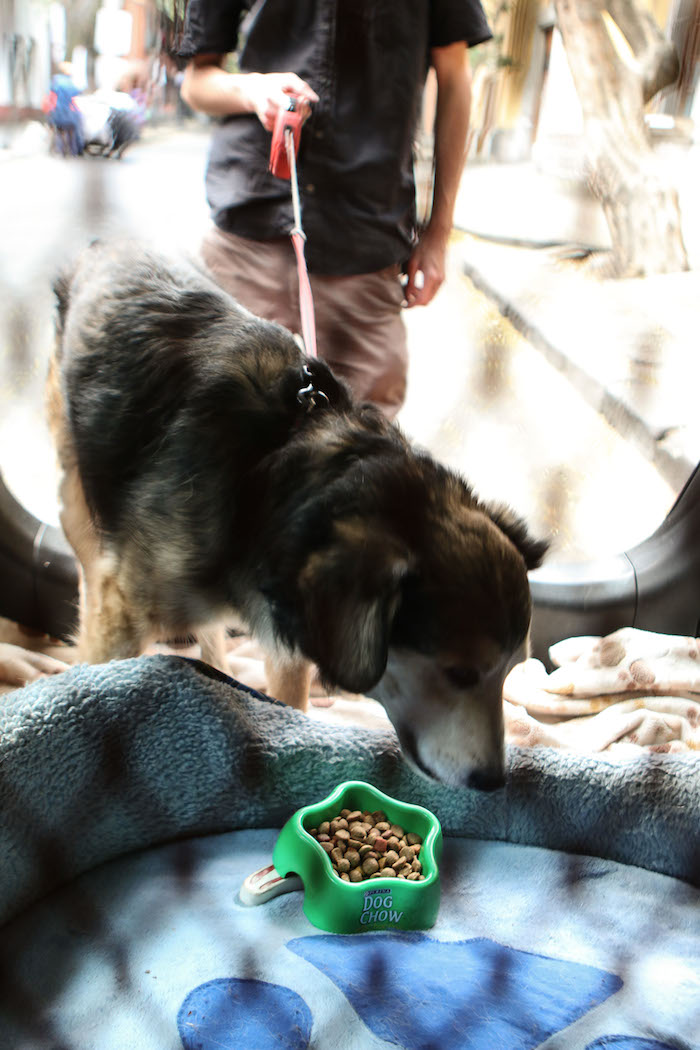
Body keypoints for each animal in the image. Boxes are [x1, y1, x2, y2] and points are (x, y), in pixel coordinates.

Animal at [49, 240, 549, 789]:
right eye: (460, 673)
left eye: (510, 672)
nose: (494, 780)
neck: (271, 475)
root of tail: (107, 244)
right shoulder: (122, 615)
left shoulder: (285, 636)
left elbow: (290, 705)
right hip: (74, 493)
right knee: (89, 568)